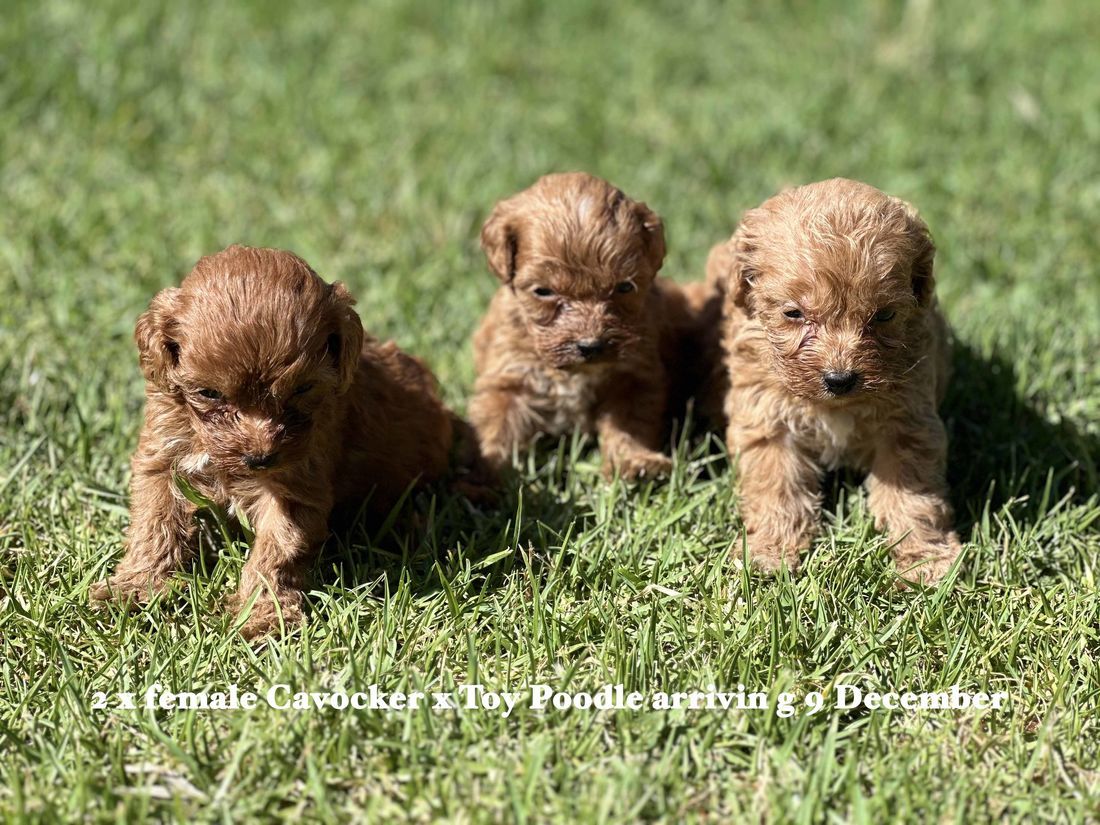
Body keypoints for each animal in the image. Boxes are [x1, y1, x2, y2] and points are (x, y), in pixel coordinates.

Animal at [90, 245, 455, 638]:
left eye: (302, 389)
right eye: (209, 393)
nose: (259, 458)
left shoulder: (296, 481)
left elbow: (277, 548)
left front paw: (265, 614)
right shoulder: (164, 451)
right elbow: (155, 523)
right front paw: (133, 586)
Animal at [470, 173, 721, 481]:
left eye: (625, 287)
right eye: (543, 291)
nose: (590, 346)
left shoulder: (633, 377)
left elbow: (629, 425)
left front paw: (636, 463)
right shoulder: (509, 379)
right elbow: (495, 429)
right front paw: (480, 475)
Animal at [708, 178, 959, 585]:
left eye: (884, 315)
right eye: (793, 313)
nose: (839, 379)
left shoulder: (908, 424)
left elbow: (914, 498)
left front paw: (925, 557)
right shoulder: (768, 420)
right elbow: (777, 489)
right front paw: (769, 551)